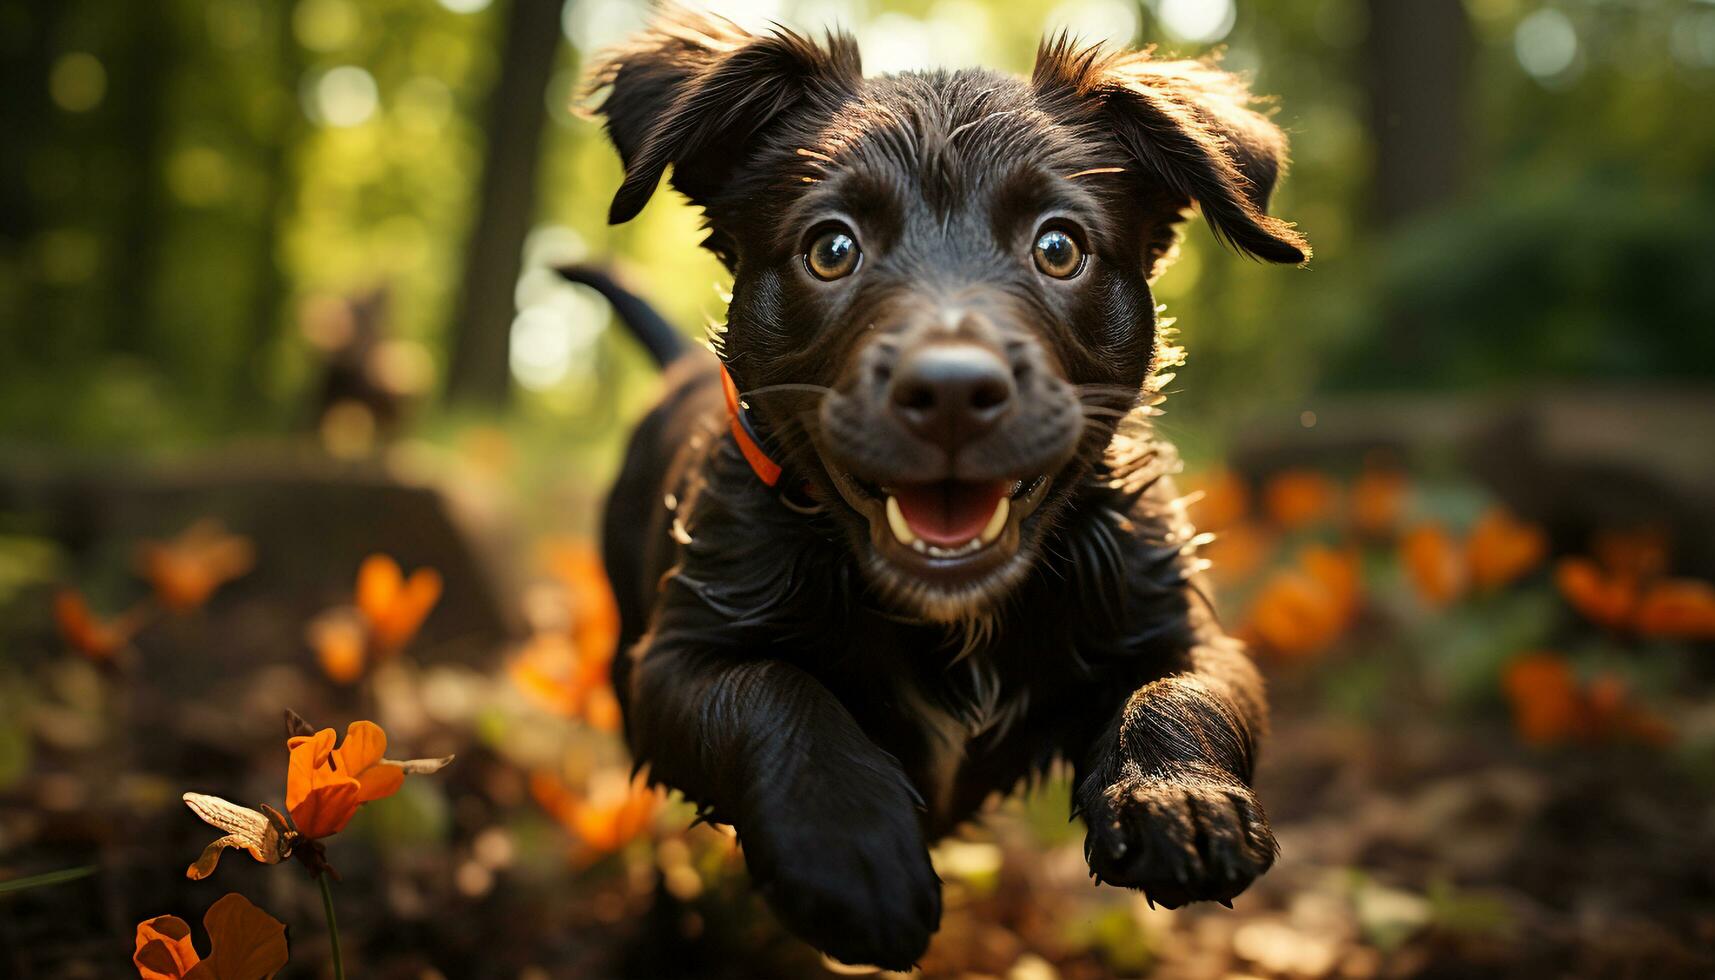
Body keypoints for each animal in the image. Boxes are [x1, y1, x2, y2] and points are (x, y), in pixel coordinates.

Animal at [583, 9, 1303, 974]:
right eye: (831, 249)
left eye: (1058, 247)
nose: (954, 391)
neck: (952, 618)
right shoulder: (674, 659)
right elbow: (773, 694)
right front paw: (843, 843)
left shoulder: (1181, 625)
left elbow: (1184, 692)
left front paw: (1177, 797)